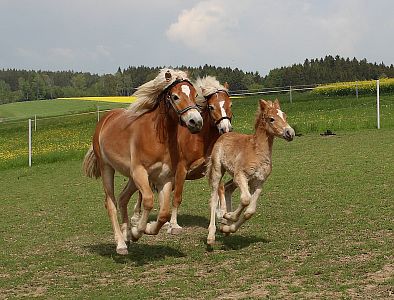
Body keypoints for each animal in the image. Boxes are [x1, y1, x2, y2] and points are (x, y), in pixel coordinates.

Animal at [81, 69, 202, 254]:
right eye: (175, 96)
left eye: (195, 95)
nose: (196, 122)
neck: (157, 137)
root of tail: (105, 119)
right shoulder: (140, 172)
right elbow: (148, 201)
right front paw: (138, 231)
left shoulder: (164, 178)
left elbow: (164, 212)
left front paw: (146, 228)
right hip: (107, 168)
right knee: (111, 203)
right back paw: (121, 244)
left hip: (131, 178)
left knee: (123, 198)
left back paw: (126, 235)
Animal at [129, 75, 234, 234]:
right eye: (211, 107)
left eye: (230, 104)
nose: (225, 129)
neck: (198, 140)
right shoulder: (181, 170)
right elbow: (177, 198)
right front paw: (174, 225)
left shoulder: (210, 168)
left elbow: (219, 188)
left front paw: (222, 214)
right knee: (142, 193)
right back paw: (137, 218)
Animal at [206, 99, 292, 245]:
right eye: (272, 119)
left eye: (284, 116)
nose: (290, 133)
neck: (257, 152)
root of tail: (225, 134)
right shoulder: (241, 176)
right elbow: (245, 199)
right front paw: (229, 215)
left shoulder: (258, 183)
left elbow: (250, 211)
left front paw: (228, 226)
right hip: (218, 169)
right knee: (214, 196)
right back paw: (211, 235)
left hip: (234, 177)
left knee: (226, 187)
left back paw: (224, 222)